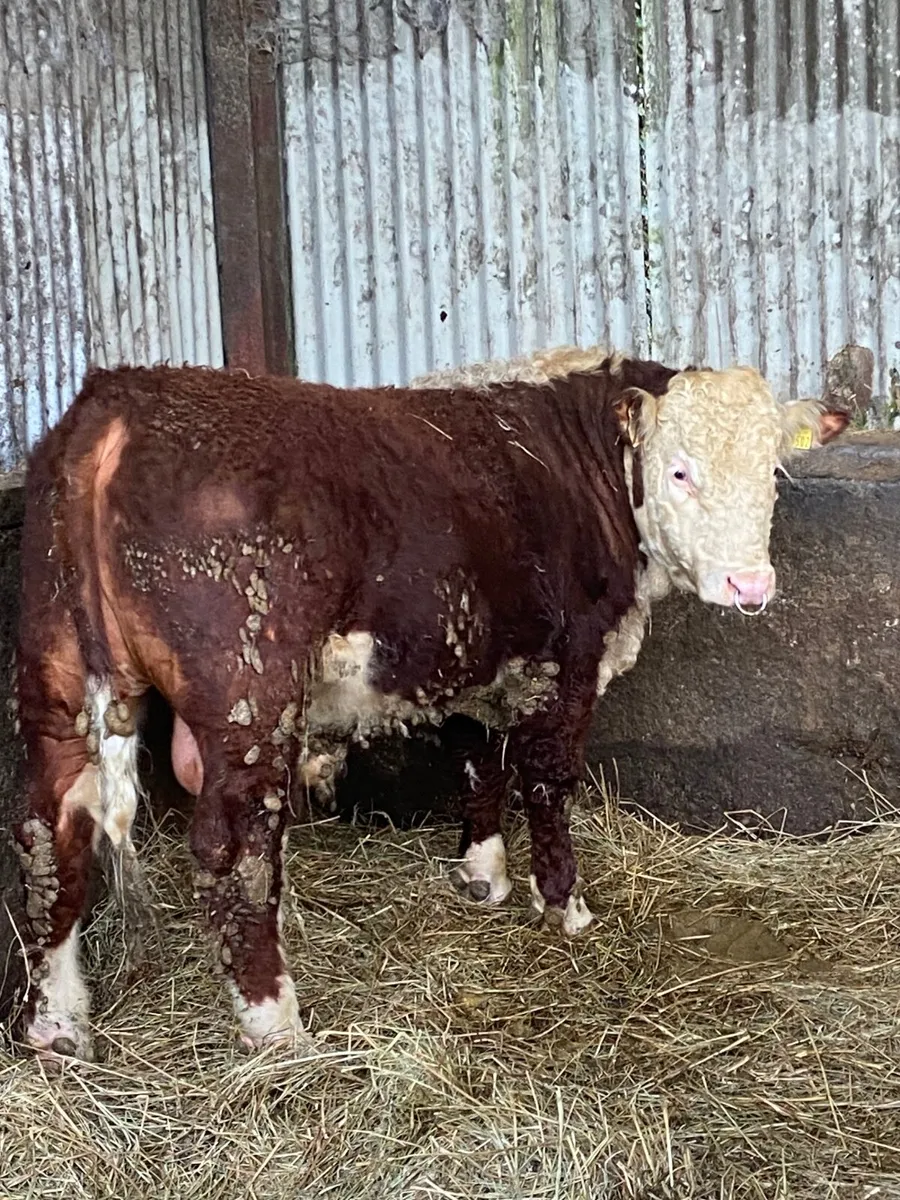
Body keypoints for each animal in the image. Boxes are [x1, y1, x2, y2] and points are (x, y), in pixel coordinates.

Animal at [13, 355, 848, 1061]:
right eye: (679, 471)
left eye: (774, 471)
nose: (749, 585)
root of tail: (121, 400)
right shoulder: (568, 664)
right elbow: (547, 782)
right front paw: (565, 907)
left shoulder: (477, 660)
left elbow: (477, 759)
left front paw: (483, 876)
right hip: (248, 689)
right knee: (234, 845)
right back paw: (275, 1025)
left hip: (56, 671)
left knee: (50, 825)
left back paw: (56, 1024)